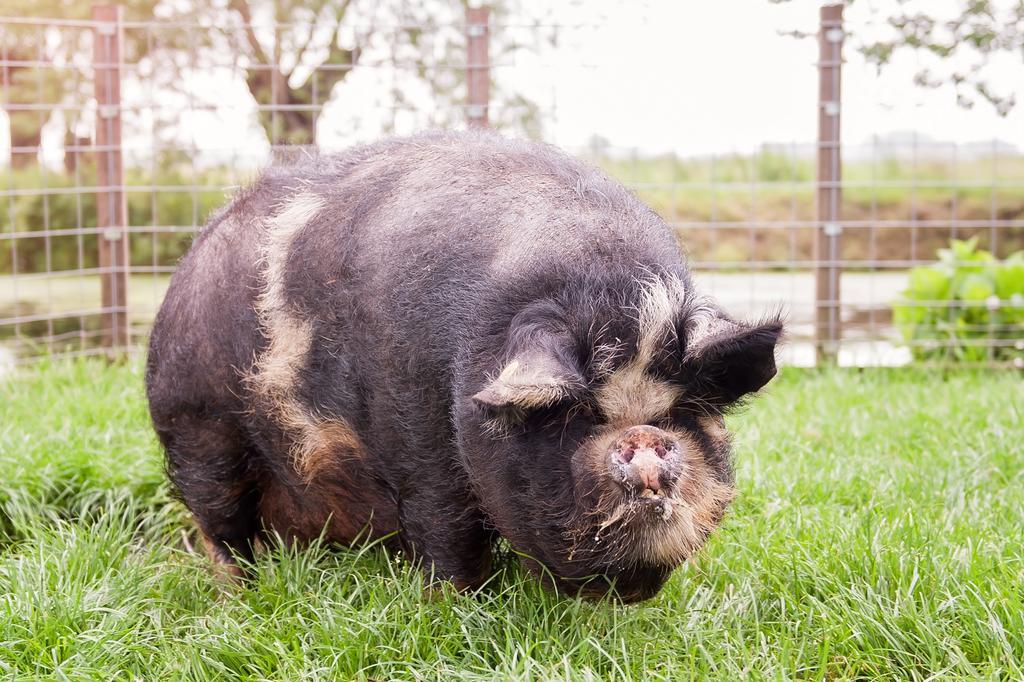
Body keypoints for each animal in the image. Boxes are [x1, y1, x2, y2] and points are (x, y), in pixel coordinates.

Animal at [144, 129, 778, 602]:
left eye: (682, 411)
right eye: (570, 416)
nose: (645, 438)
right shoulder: (415, 427)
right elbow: (445, 524)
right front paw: (456, 605)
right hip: (197, 426)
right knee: (220, 524)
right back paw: (239, 595)